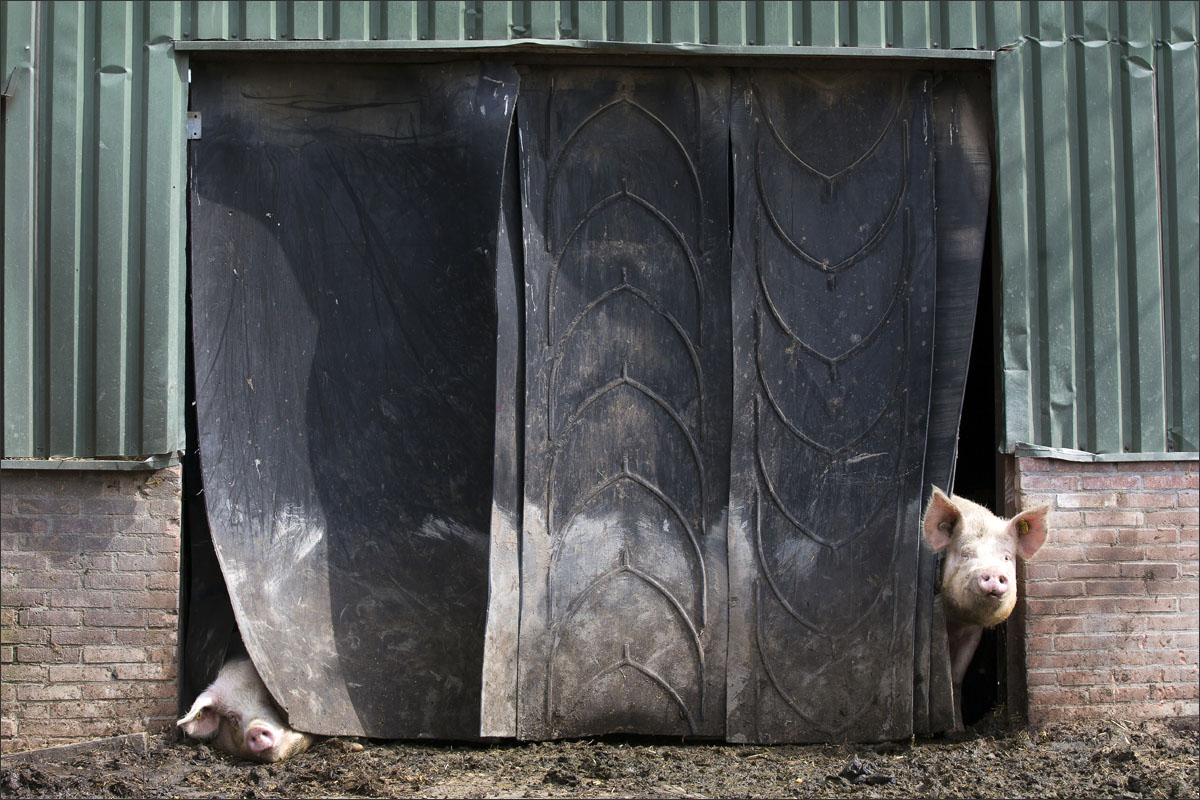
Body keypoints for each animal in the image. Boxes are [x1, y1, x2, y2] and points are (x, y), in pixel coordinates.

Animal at [921, 489, 1046, 724]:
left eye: (1006, 557)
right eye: (966, 553)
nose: (994, 572)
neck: (957, 622)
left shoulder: (973, 632)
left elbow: (956, 678)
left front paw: (958, 728)